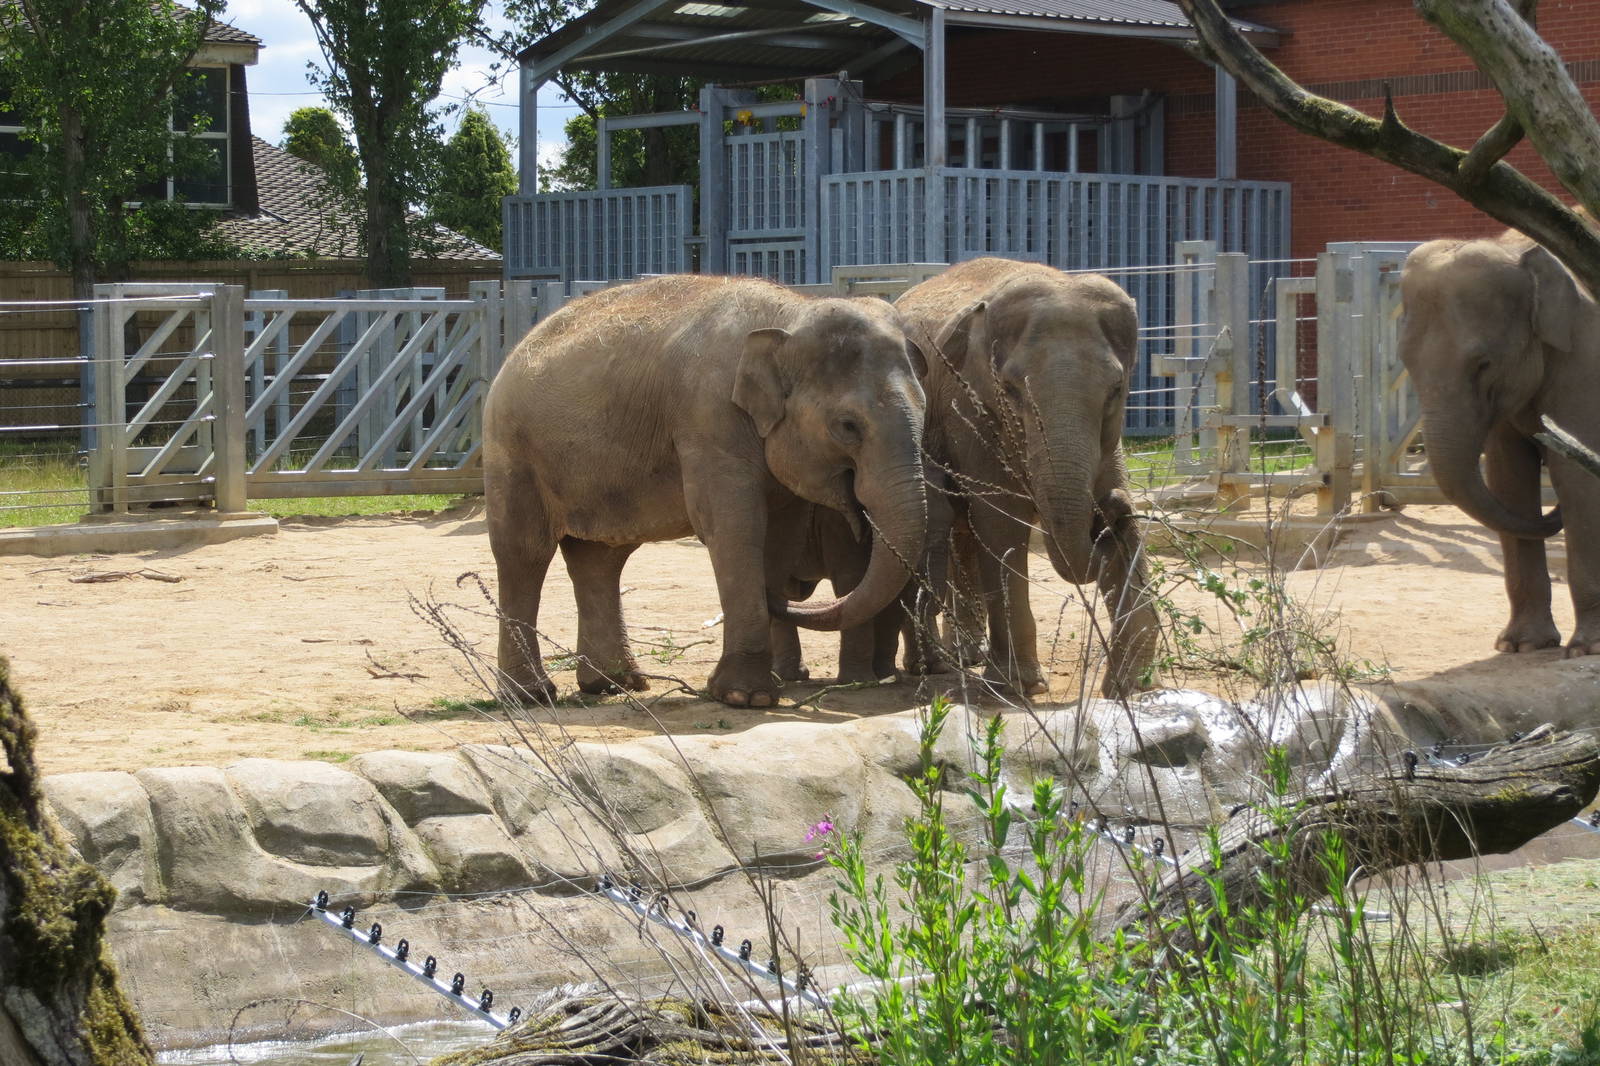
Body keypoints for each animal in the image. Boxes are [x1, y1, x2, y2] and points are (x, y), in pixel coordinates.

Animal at [483, 275, 930, 708]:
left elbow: (778, 537)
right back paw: (530, 695)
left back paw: (614, 685)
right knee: (524, 552)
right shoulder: (709, 418)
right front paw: (746, 697)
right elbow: (732, 526)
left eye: (924, 410)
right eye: (848, 426)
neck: (790, 313)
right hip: (512, 451)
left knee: (599, 560)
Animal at [886, 257, 1161, 699]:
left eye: (1117, 388)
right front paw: (1019, 686)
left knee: (962, 532)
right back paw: (951, 662)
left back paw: (968, 656)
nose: (1107, 514)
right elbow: (1000, 520)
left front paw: (1133, 689)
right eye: (1010, 389)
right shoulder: (969, 411)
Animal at [1399, 231, 1599, 657]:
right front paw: (1521, 646)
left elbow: (1576, 478)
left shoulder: (1587, 362)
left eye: (1483, 364)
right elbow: (1508, 479)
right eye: (1405, 362)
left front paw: (1586, 650)